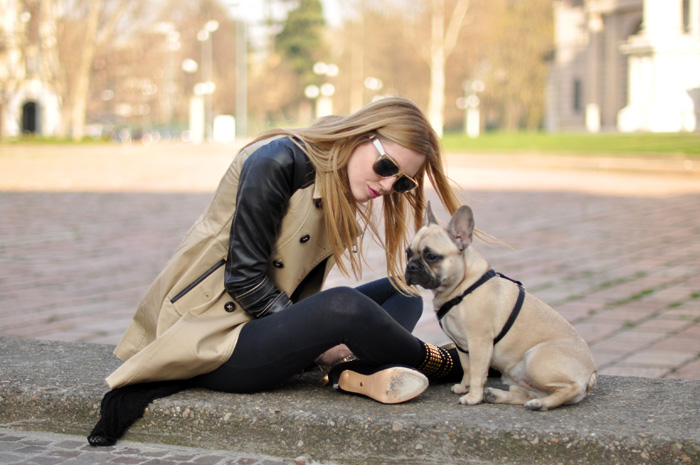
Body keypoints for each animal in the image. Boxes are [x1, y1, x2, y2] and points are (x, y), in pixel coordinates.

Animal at [405, 204, 597, 411]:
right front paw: (464, 387)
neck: (463, 286)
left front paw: (473, 397)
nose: (411, 266)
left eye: (431, 256)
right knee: (526, 393)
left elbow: (477, 373)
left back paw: (540, 404)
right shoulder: (462, 346)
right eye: (408, 253)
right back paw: (499, 396)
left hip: (536, 358)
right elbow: (467, 368)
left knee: (569, 389)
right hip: (518, 375)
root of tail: (592, 374)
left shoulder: (479, 342)